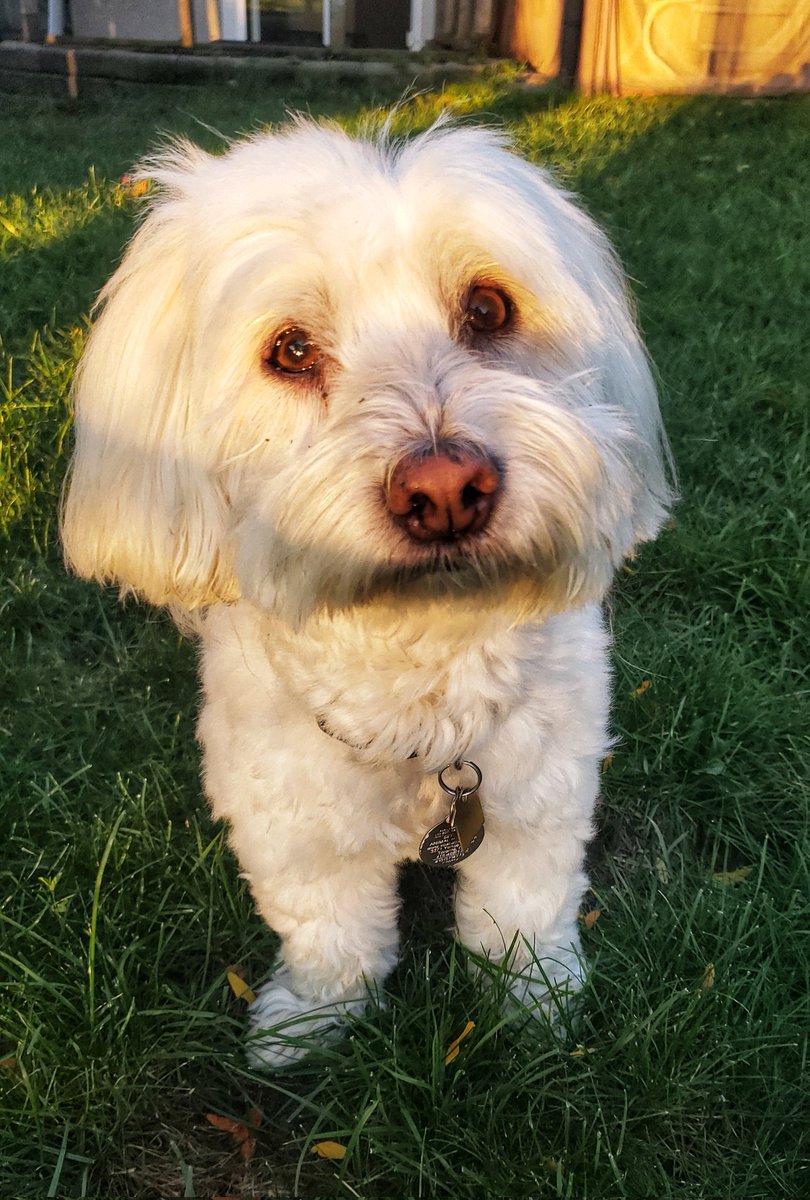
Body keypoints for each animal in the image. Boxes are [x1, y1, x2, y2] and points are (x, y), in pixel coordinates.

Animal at [60, 117, 676, 1065]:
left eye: (488, 309)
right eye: (290, 350)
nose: (447, 489)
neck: (421, 696)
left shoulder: (541, 795)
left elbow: (524, 912)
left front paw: (536, 1003)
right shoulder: (291, 819)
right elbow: (331, 926)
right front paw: (315, 1017)